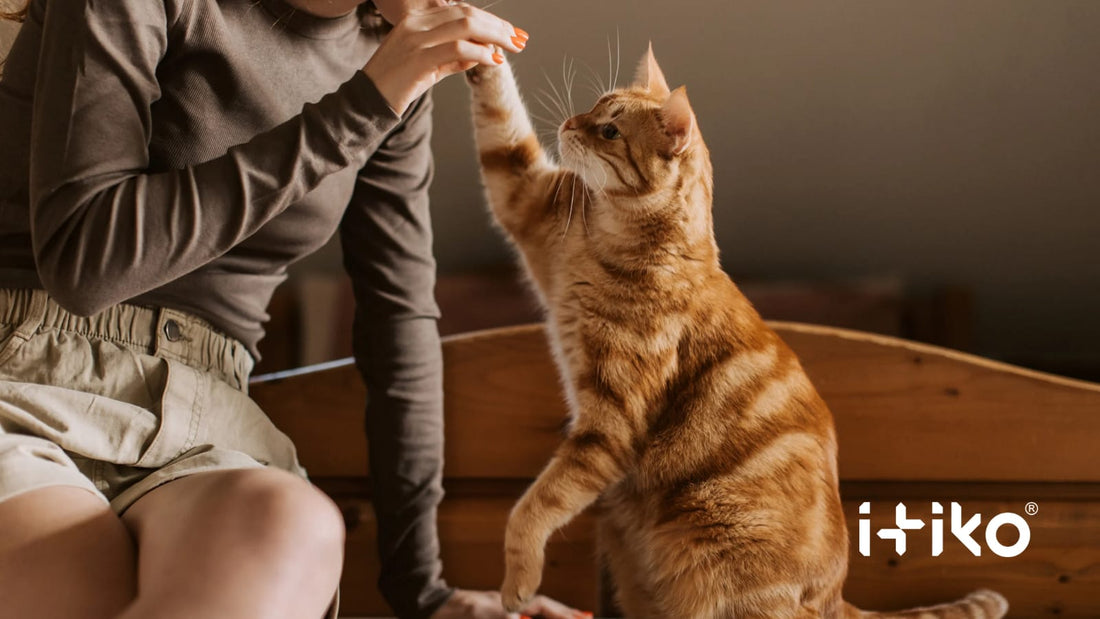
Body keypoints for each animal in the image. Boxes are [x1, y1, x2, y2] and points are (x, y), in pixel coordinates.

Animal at [462, 44, 1007, 619]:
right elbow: (503, 128)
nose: (569, 123)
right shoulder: (524, 196)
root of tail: (836, 596)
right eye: (593, 106)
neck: (607, 237)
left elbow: (537, 505)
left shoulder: (610, 426)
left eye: (609, 130)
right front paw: (478, 47)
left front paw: (518, 581)